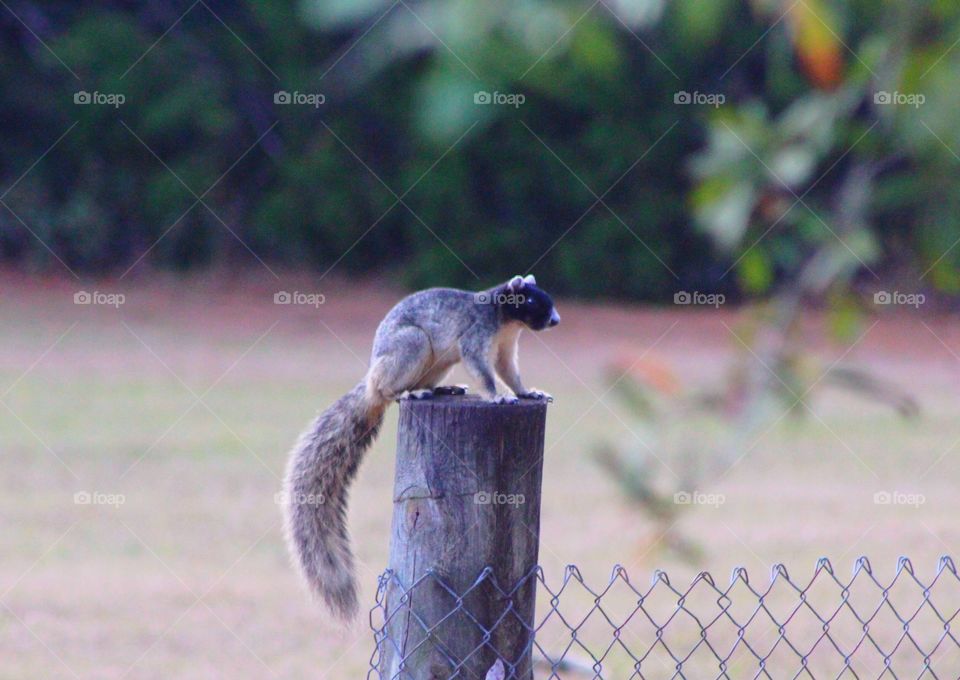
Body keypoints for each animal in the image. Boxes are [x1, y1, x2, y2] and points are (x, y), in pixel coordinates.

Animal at [282, 274, 560, 620]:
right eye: (532, 300)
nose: (555, 320)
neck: (505, 320)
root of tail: (370, 383)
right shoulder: (475, 338)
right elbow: (485, 373)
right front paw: (498, 397)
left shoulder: (506, 348)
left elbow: (509, 372)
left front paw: (526, 393)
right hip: (411, 346)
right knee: (390, 389)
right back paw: (408, 393)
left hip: (436, 363)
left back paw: (442, 389)